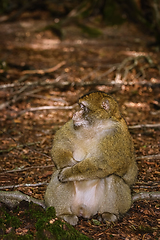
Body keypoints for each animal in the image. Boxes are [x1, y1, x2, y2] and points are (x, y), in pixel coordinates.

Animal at [44, 91, 138, 225]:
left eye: (83, 107)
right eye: (80, 106)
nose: (75, 114)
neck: (95, 127)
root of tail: (84, 210)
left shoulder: (116, 134)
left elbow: (105, 164)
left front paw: (69, 172)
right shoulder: (73, 125)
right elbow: (60, 144)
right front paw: (68, 163)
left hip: (123, 202)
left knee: (112, 177)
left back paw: (109, 213)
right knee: (58, 173)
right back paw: (64, 214)